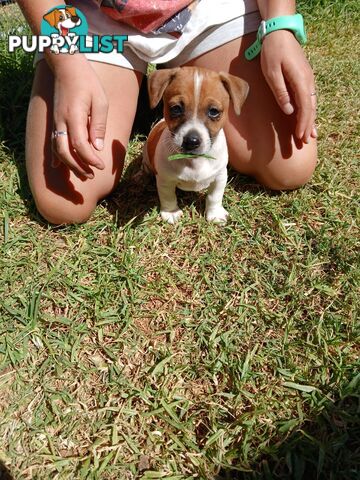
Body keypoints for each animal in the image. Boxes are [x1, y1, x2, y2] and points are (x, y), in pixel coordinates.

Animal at [142, 66, 249, 224]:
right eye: (176, 108)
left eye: (214, 111)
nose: (191, 141)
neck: (194, 162)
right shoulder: (164, 180)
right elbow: (168, 197)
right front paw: (171, 212)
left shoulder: (220, 176)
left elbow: (214, 197)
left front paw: (215, 213)